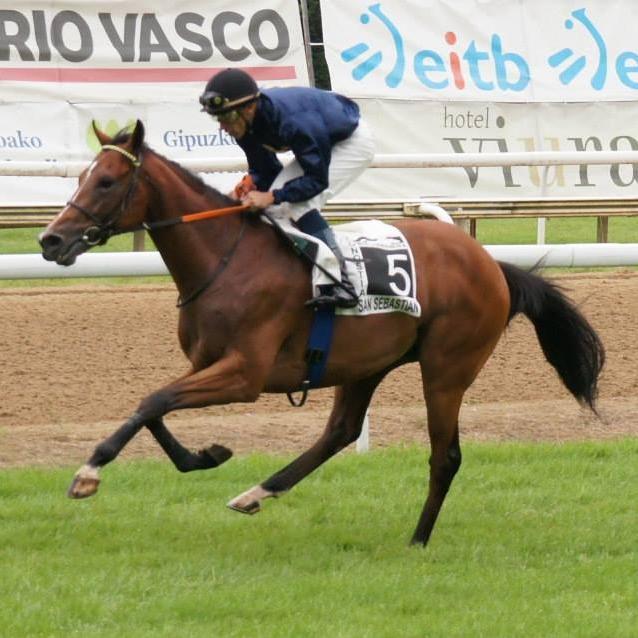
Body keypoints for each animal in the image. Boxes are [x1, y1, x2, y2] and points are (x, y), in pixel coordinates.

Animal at [37, 122, 608, 548]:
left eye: (107, 182)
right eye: (82, 176)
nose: (50, 239)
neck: (226, 259)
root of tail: (493, 266)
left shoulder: (244, 374)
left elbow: (152, 401)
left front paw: (88, 472)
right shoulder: (205, 364)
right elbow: (154, 405)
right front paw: (206, 455)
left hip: (447, 369)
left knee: (444, 456)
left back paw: (417, 539)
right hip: (365, 364)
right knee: (341, 431)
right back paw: (256, 493)